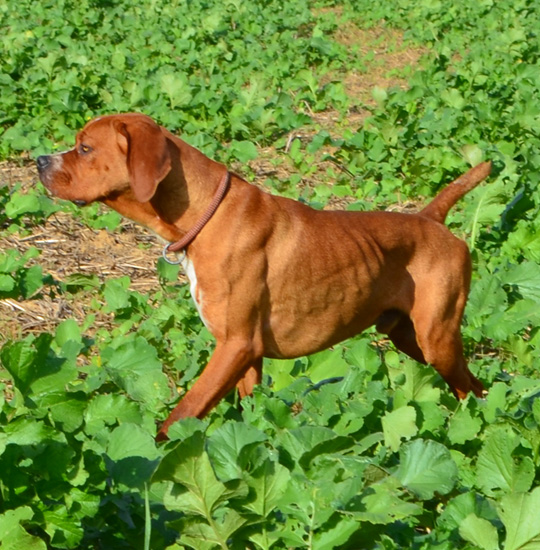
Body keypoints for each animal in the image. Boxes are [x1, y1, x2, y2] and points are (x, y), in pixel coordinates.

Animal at [35, 114, 492, 442]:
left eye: (85, 147)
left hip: (437, 339)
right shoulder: (247, 357)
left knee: (473, 390)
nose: (39, 160)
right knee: (477, 386)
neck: (206, 214)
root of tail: (430, 219)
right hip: (408, 337)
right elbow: (248, 415)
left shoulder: (235, 345)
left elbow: (182, 414)